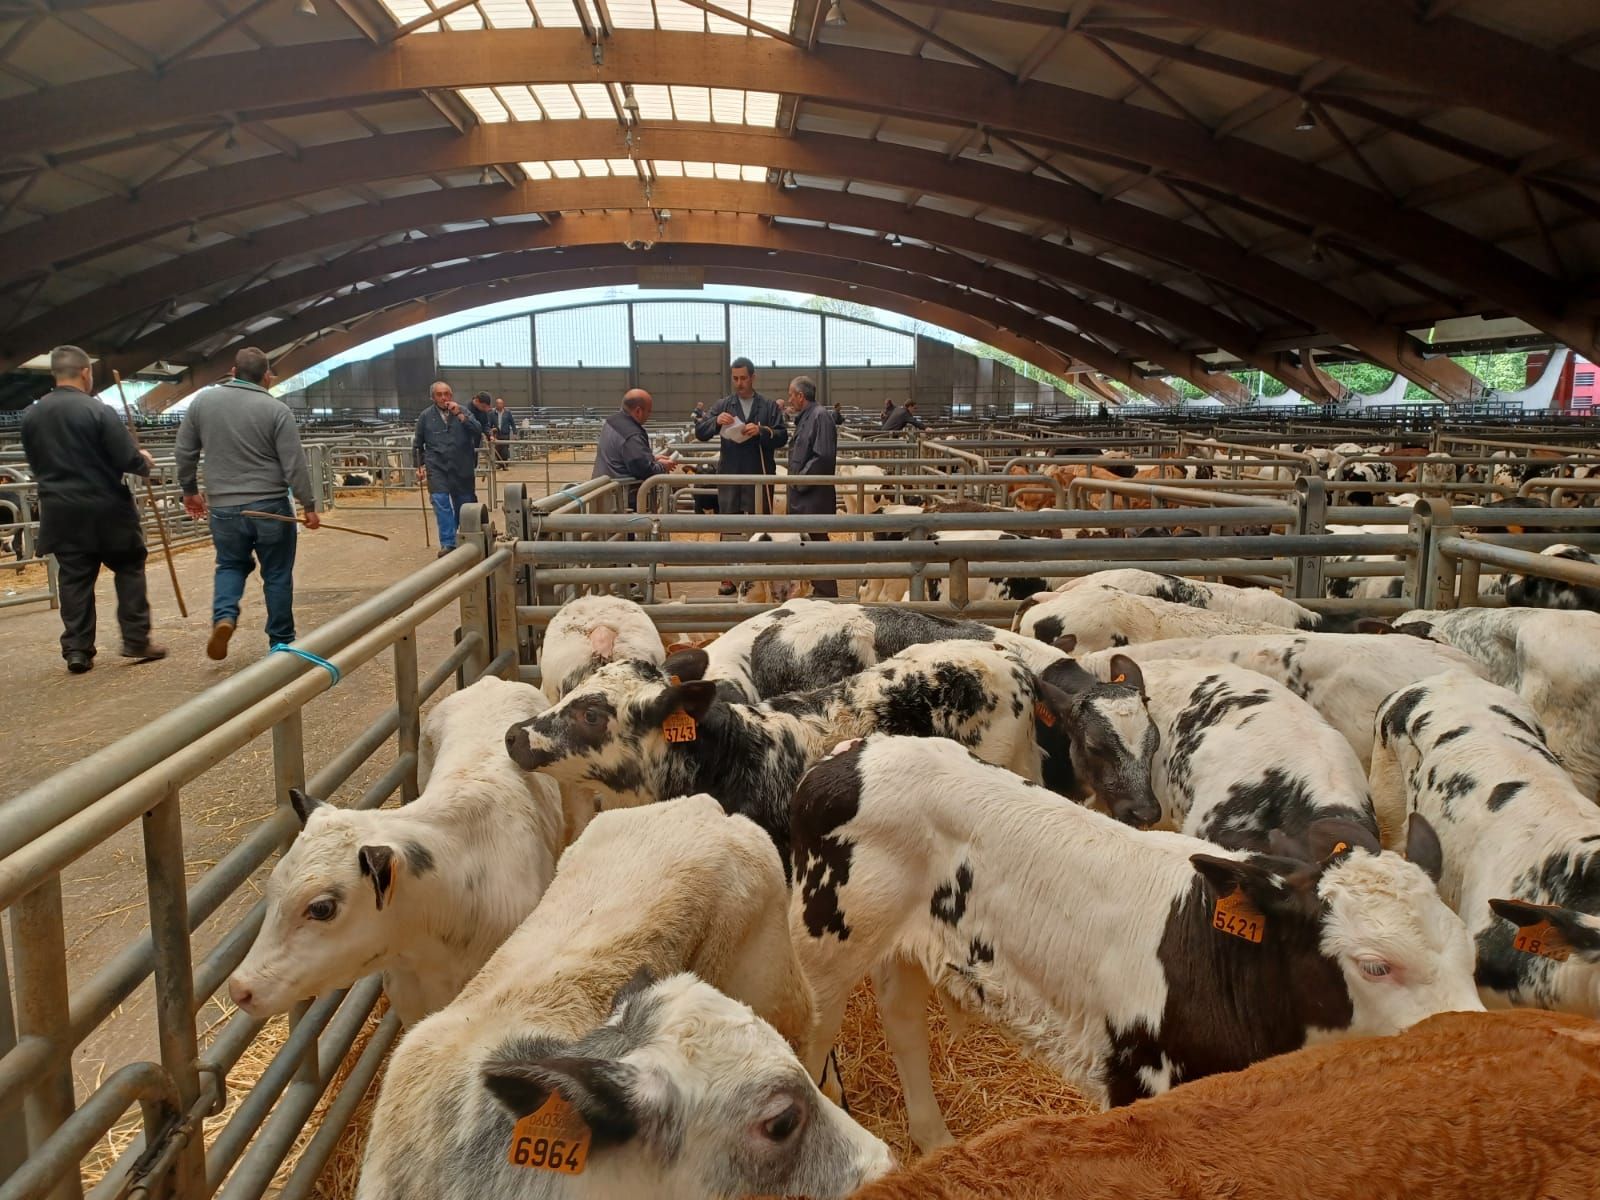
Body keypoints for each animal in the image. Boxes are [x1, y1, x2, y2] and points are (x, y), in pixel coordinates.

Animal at [793, 739, 1478, 1152]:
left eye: (1470, 956)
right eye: (1375, 966)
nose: (1476, 1041)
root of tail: (852, 751)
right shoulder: (1136, 1080)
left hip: (904, 942)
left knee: (903, 1022)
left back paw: (935, 1142)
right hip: (823, 949)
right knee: (811, 1039)